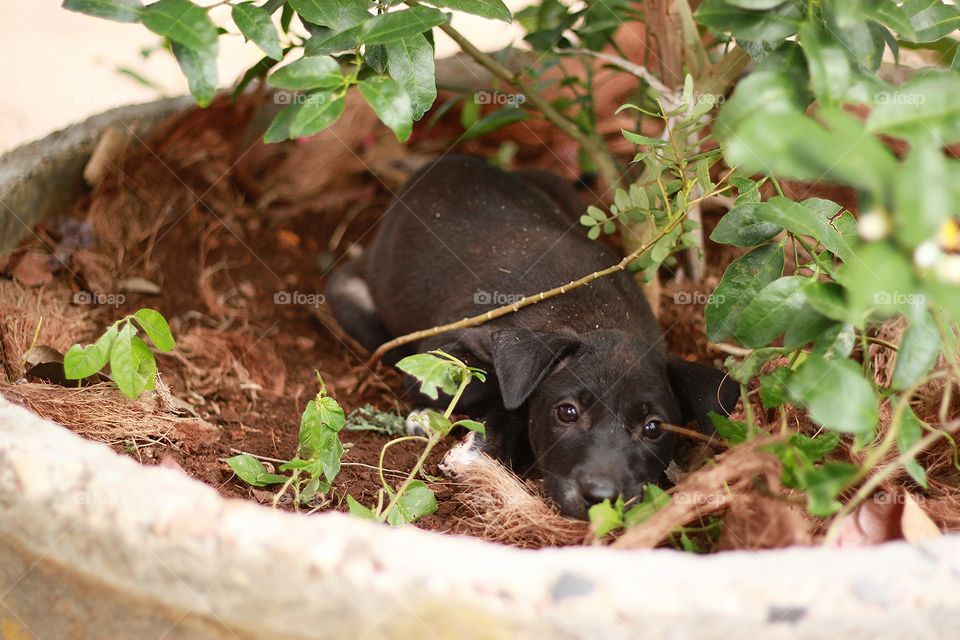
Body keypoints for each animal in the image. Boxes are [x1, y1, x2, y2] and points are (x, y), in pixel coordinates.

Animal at [326, 155, 740, 520]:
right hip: (351, 300)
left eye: (654, 428)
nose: (600, 497)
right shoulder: (443, 351)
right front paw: (470, 444)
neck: (591, 319)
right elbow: (503, 392)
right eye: (567, 412)